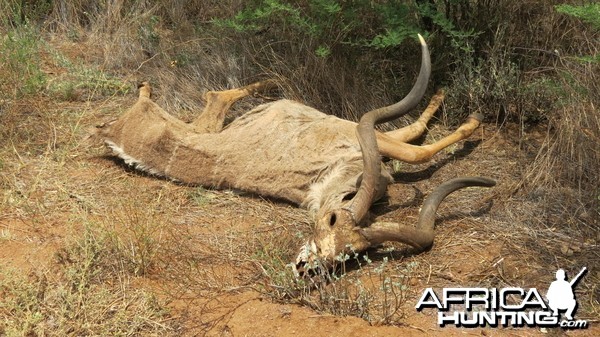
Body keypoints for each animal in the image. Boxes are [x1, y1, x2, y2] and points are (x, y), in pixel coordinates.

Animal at [96, 35, 494, 274]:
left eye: (353, 253)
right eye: (330, 221)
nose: (310, 267)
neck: (329, 175)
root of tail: (111, 134)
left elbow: (415, 142)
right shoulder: (363, 132)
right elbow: (417, 146)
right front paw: (468, 117)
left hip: (203, 126)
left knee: (212, 96)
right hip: (202, 123)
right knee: (215, 95)